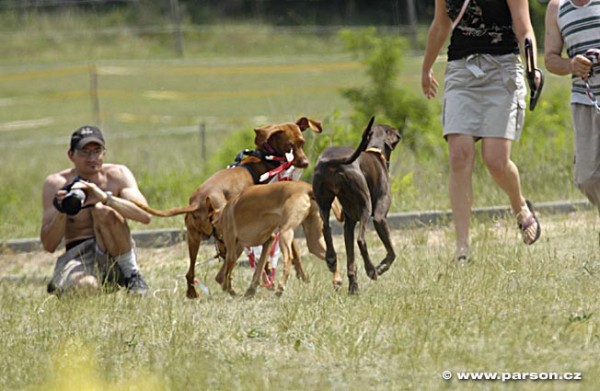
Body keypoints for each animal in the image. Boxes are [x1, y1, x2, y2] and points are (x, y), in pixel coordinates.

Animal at [135, 118, 324, 298]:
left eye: (302, 142)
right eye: (289, 145)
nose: (305, 163)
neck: (265, 156)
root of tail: (197, 202)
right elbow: (295, 250)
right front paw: (302, 276)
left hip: (195, 239)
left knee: (193, 273)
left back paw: (194, 293)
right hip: (231, 241)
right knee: (222, 274)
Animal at [207, 181, 338, 298]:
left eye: (215, 234)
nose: (221, 253)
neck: (224, 212)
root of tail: (306, 187)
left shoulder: (233, 251)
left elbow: (226, 275)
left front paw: (229, 289)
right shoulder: (268, 241)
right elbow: (259, 269)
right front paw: (250, 290)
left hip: (285, 232)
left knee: (289, 258)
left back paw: (280, 288)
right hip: (313, 241)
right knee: (331, 256)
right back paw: (337, 281)